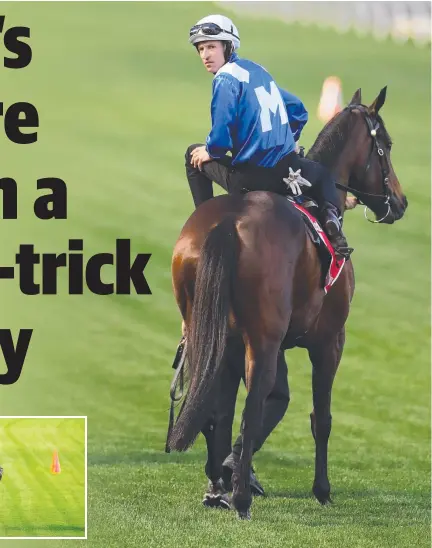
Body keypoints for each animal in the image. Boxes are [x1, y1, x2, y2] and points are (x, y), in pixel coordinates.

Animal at [166, 88, 408, 520]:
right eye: (386, 145)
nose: (400, 201)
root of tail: (228, 223)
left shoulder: (240, 343)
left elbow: (243, 408)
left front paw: (228, 474)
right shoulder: (329, 341)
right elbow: (320, 418)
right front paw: (321, 489)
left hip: (211, 335)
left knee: (218, 407)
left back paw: (220, 486)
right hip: (264, 343)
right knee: (253, 406)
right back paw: (241, 498)